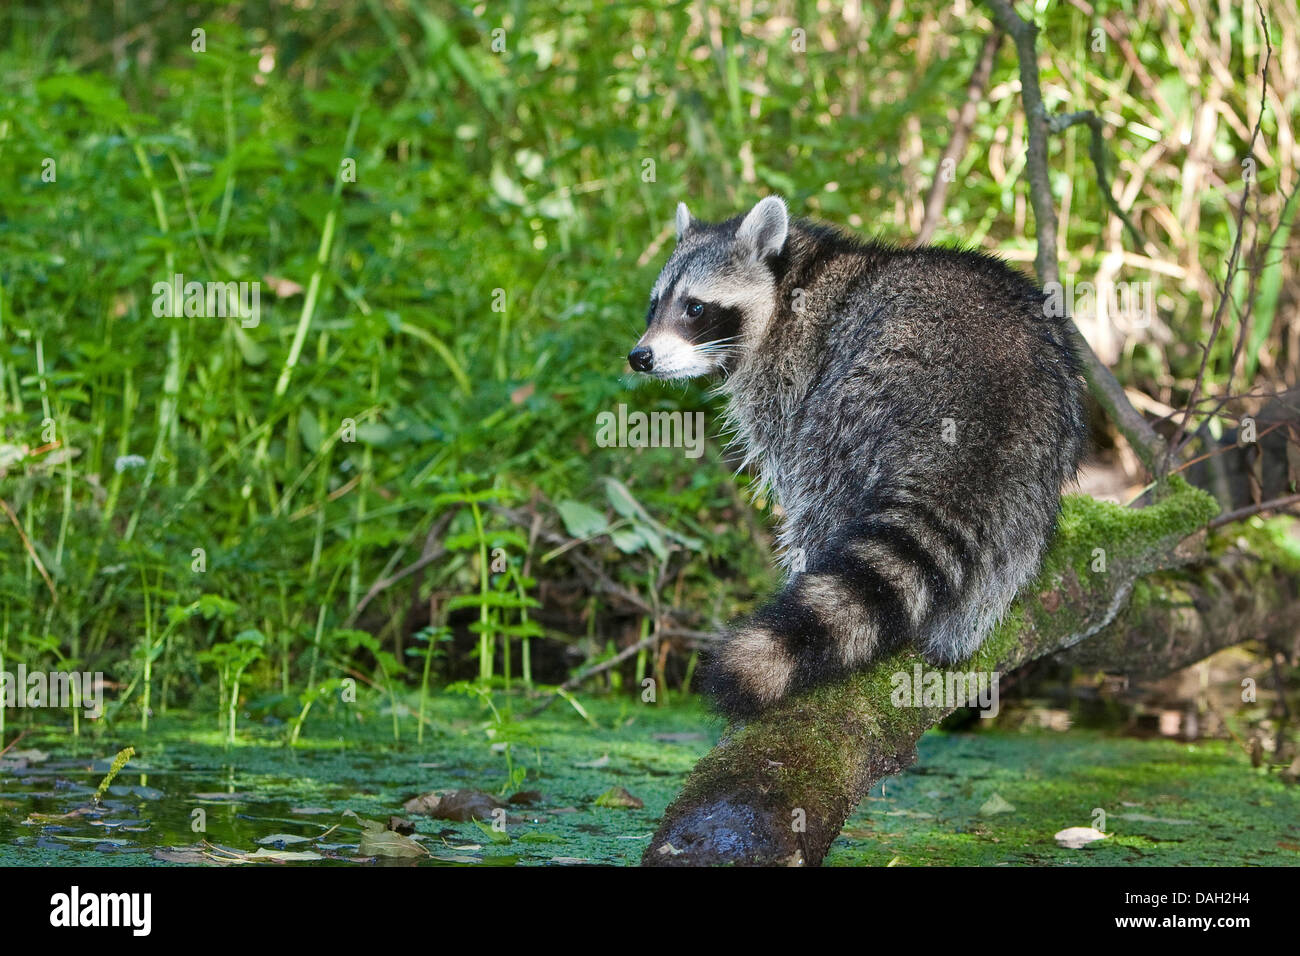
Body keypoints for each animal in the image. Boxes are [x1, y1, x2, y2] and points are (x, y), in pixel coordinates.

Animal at [629, 196, 1087, 717]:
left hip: (863, 394)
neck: (795, 278)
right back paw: (966, 623)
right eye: (654, 305)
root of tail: (983, 395)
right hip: (1038, 453)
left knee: (821, 484)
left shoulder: (793, 370)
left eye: (695, 307)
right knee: (1011, 547)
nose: (640, 357)